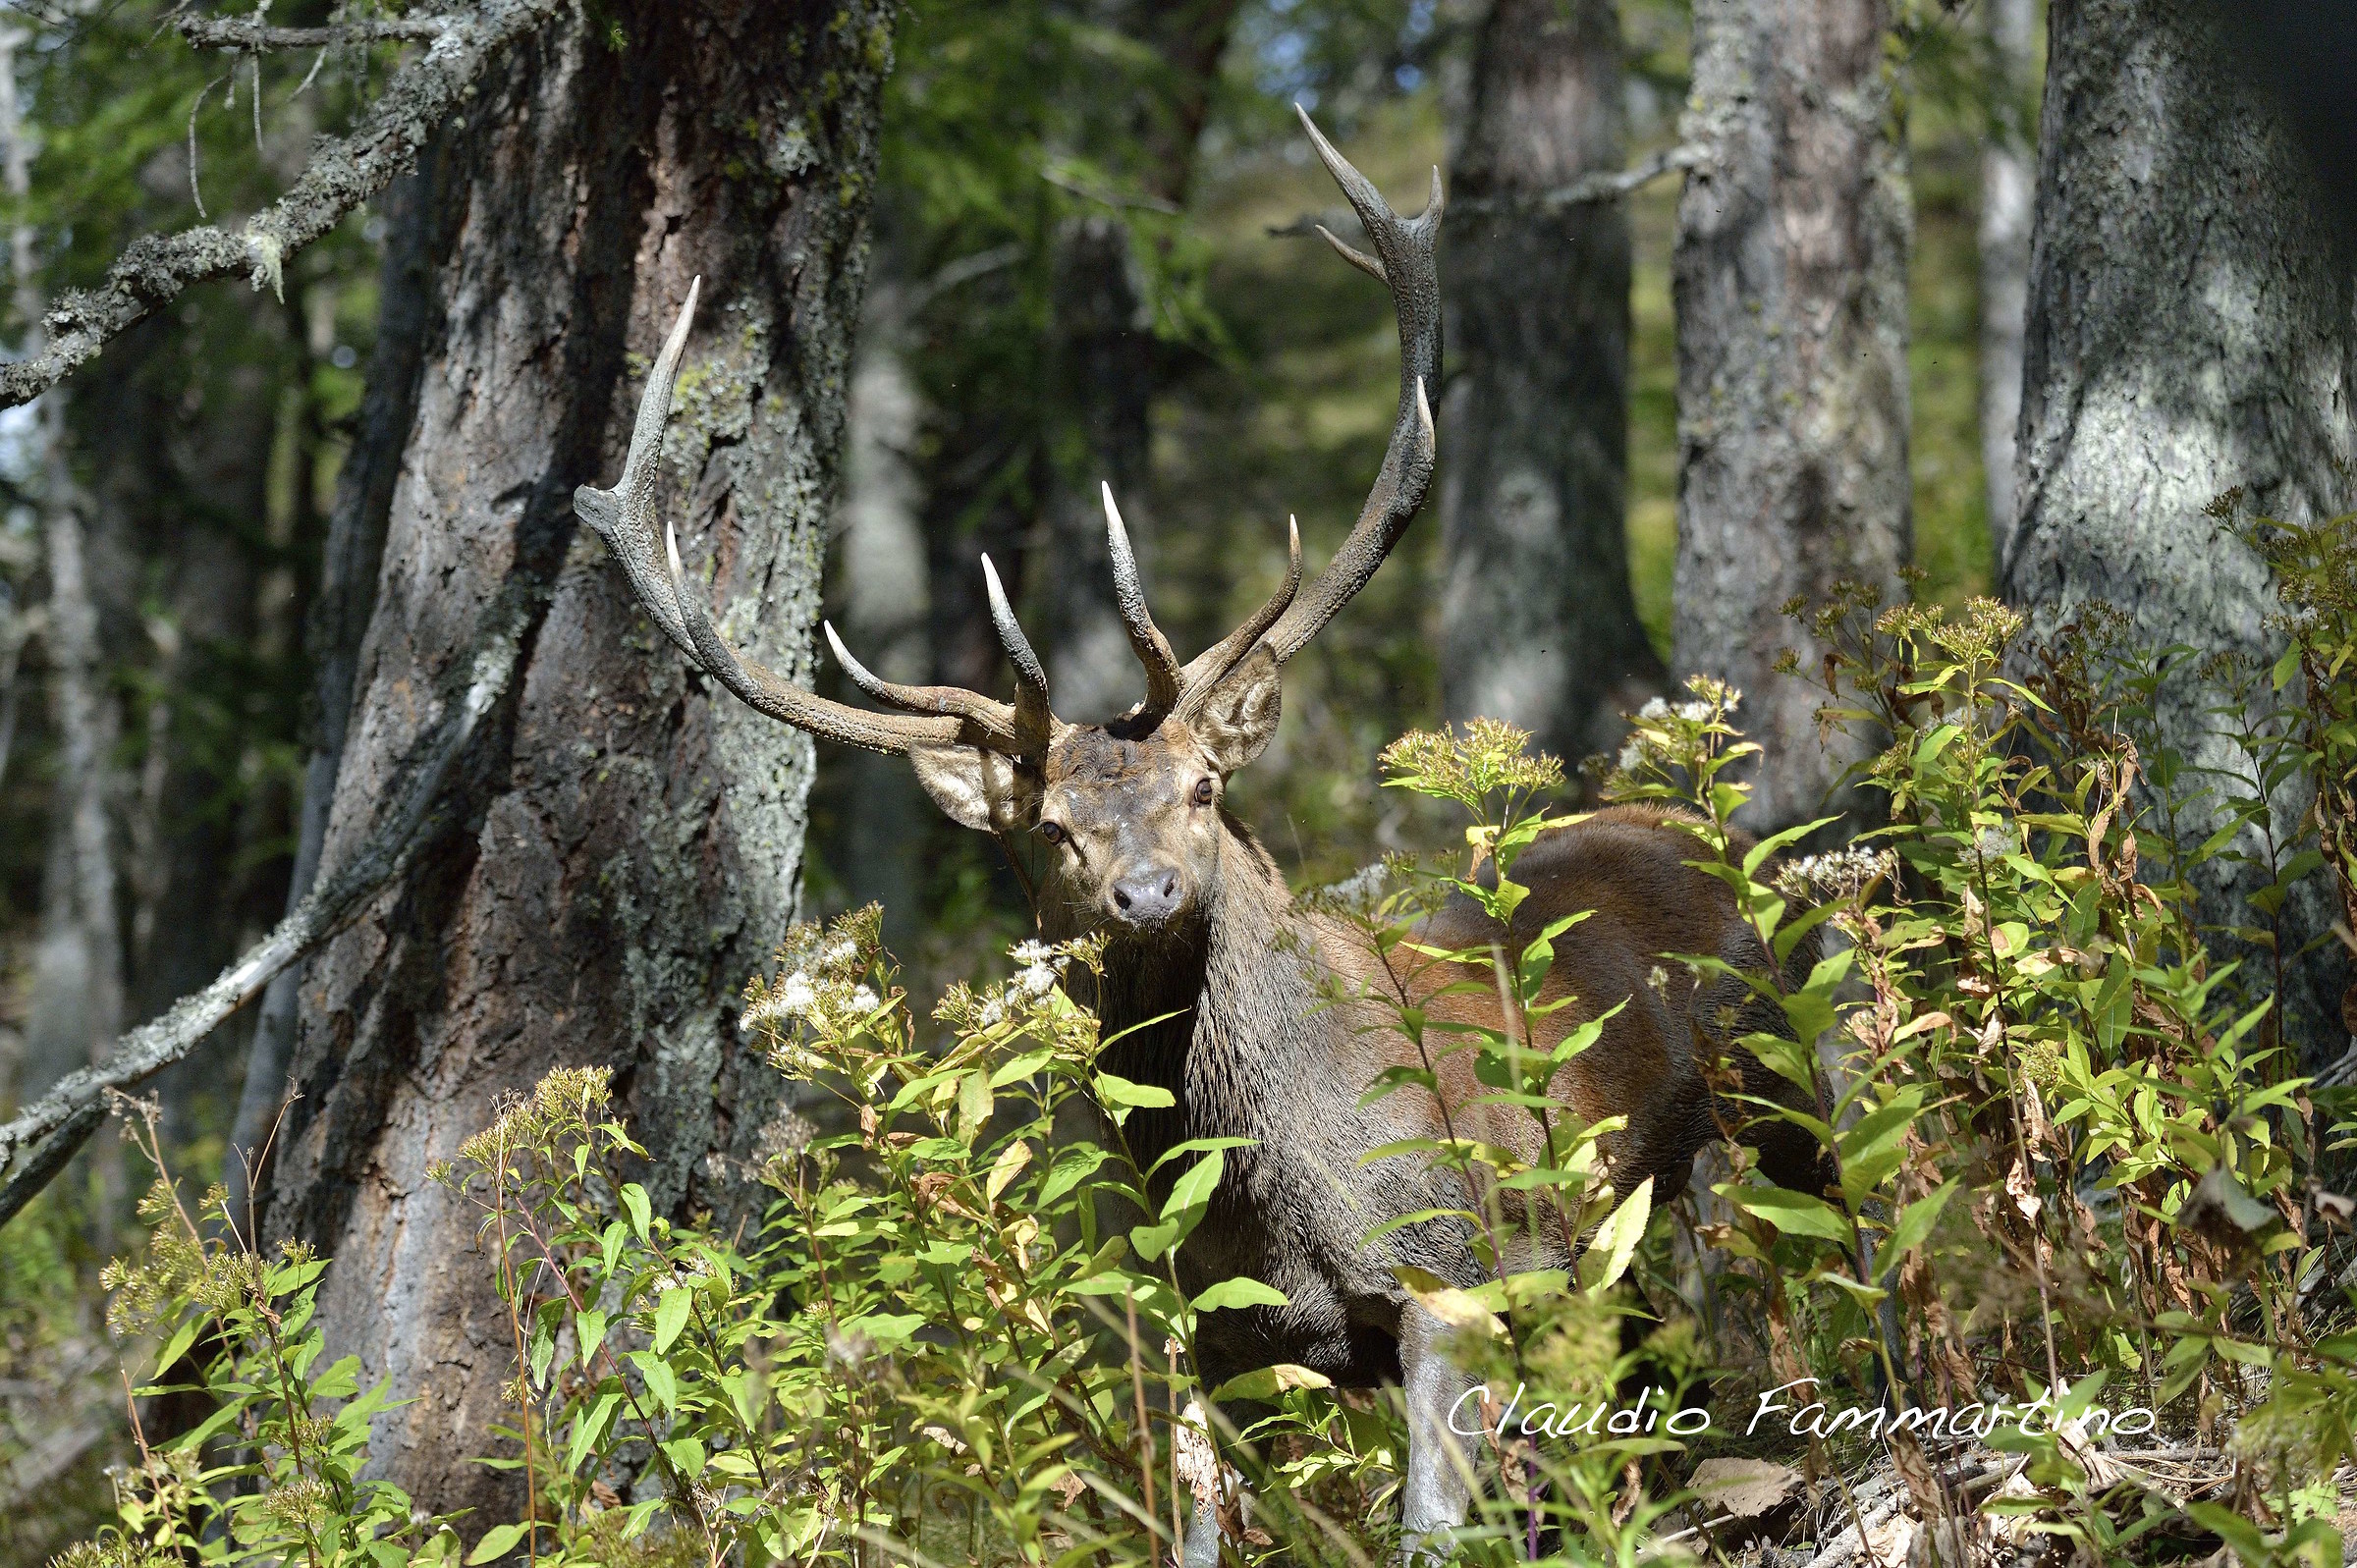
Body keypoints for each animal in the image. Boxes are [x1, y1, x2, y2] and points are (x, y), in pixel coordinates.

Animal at [575, 110, 1821, 1562]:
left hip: (1779, 1087)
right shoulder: (1210, 1334)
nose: (1149, 891)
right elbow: (1199, 1531)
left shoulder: (1455, 1278)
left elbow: (1425, 1529)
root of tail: (1691, 821)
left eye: (1205, 790)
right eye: (1054, 828)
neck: (1272, 1196)